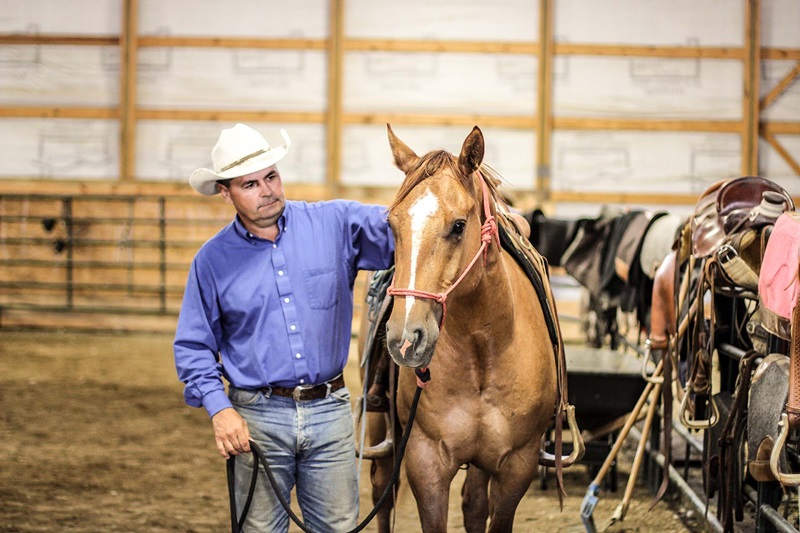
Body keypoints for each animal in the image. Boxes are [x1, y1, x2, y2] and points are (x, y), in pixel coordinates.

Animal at [375, 124, 581, 532]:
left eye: (458, 226)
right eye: (392, 224)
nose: (405, 339)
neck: (483, 348)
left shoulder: (516, 465)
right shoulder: (425, 460)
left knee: (473, 503)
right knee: (381, 494)